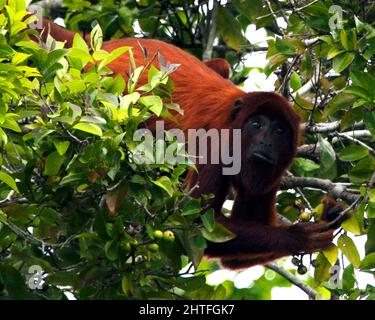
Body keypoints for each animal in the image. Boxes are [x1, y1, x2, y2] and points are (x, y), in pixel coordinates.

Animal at [33, 16, 344, 268]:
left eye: (279, 130)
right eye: (257, 125)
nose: (266, 143)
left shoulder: (275, 169)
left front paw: (330, 213)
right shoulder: (214, 145)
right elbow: (194, 224)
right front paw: (297, 236)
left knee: (222, 64)